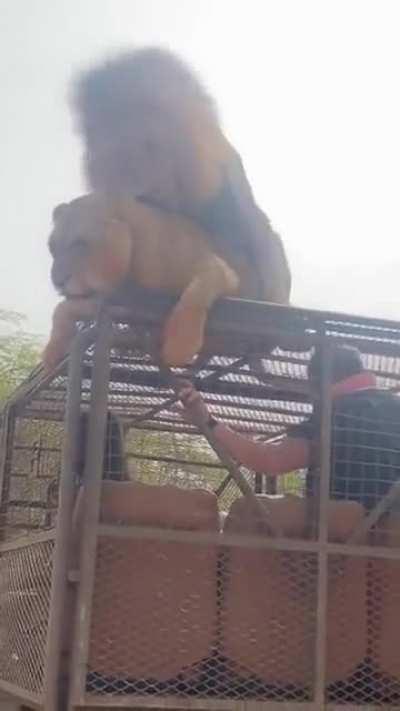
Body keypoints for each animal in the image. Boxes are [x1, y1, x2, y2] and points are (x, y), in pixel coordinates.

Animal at [43, 192, 288, 369]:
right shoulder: (110, 298)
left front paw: (179, 347)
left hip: (272, 247)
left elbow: (195, 294)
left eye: (80, 244)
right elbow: (61, 308)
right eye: (52, 248)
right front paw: (52, 351)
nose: (58, 281)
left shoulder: (219, 269)